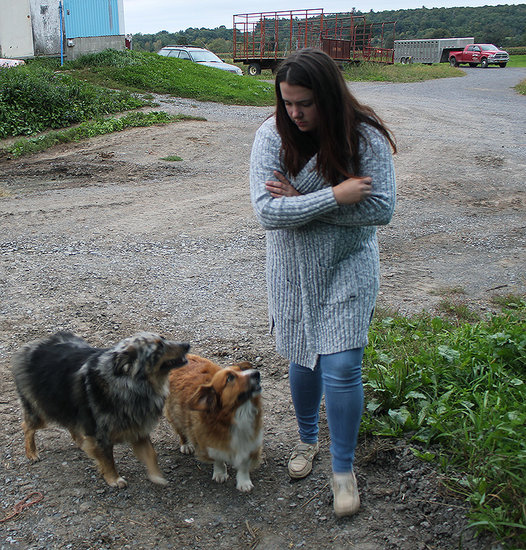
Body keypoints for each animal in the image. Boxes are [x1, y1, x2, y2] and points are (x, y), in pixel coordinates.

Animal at [11, 331, 190, 488]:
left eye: (164, 339)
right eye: (159, 349)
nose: (187, 344)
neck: (131, 385)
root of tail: (31, 347)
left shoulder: (138, 429)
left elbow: (151, 454)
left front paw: (156, 476)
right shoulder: (101, 435)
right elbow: (108, 460)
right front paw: (113, 479)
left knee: (72, 427)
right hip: (44, 410)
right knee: (27, 427)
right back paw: (31, 453)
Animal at [164, 354, 262, 492]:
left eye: (241, 370)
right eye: (230, 378)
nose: (257, 373)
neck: (238, 412)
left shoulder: (250, 438)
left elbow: (243, 464)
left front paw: (243, 482)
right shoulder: (208, 439)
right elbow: (218, 458)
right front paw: (220, 473)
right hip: (174, 412)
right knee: (180, 429)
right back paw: (186, 445)